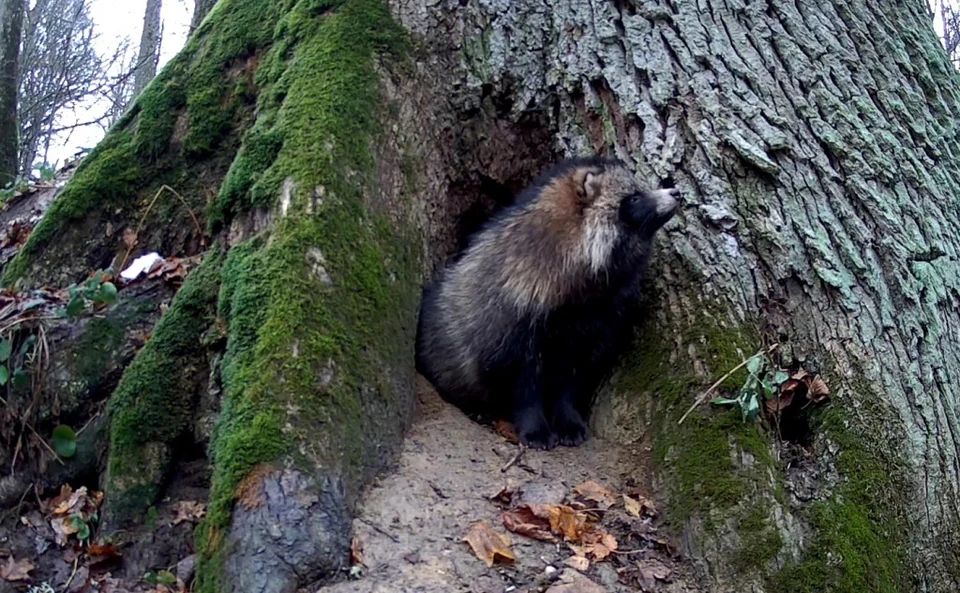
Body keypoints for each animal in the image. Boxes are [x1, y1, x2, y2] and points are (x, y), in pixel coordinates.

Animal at [416, 157, 680, 448]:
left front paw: (567, 416)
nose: (676, 192)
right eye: (634, 197)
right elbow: (521, 382)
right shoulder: (512, 319)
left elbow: (573, 377)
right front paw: (533, 424)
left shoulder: (594, 322)